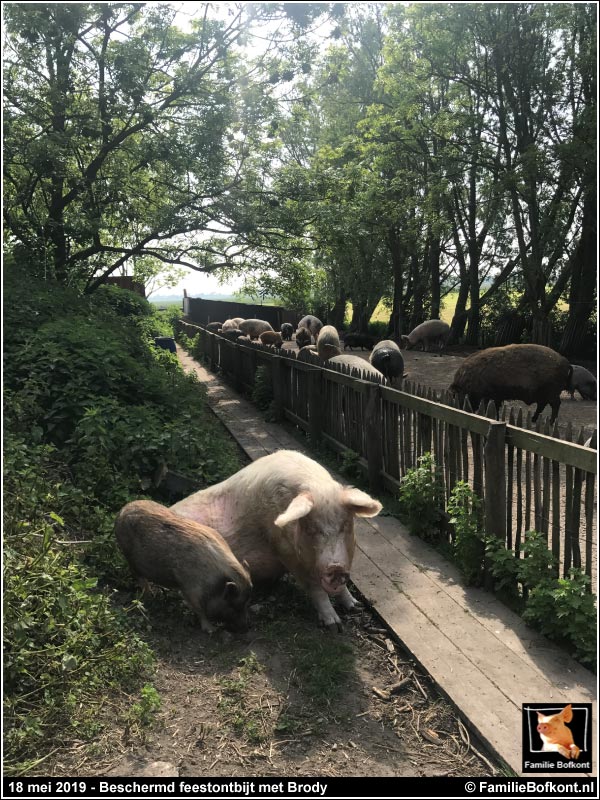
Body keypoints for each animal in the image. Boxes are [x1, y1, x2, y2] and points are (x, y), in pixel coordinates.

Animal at [114, 500, 251, 632]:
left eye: (246, 603)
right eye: (233, 605)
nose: (246, 628)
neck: (216, 582)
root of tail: (123, 510)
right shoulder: (190, 587)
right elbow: (199, 609)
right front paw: (212, 630)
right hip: (129, 556)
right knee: (139, 577)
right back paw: (150, 596)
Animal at [171, 450, 382, 632]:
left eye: (345, 525)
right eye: (311, 529)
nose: (336, 567)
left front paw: (355, 607)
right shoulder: (285, 551)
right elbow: (315, 588)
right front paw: (334, 626)